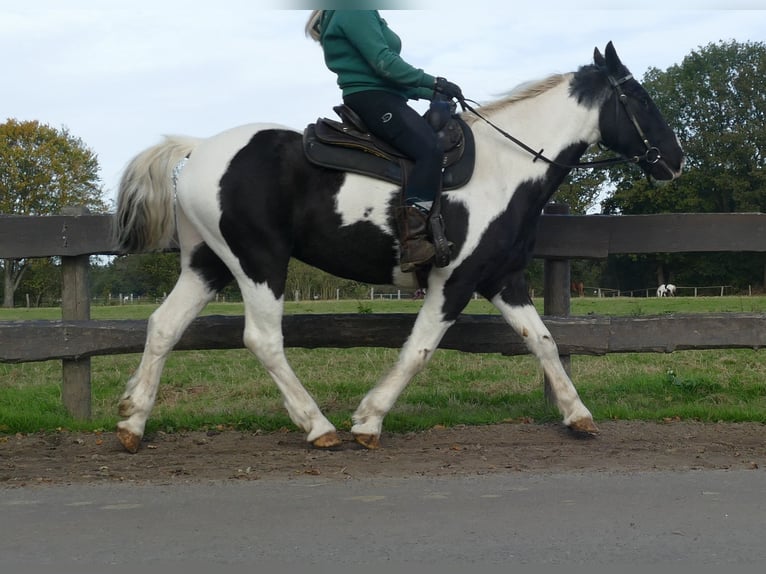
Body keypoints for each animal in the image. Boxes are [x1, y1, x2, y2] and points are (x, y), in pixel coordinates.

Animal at [112, 41, 684, 454]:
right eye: (641, 99)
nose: (674, 161)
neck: (509, 166)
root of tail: (198, 149)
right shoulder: (455, 280)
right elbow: (419, 349)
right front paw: (368, 420)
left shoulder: (502, 279)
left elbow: (542, 341)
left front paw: (578, 415)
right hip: (260, 262)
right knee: (262, 340)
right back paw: (318, 426)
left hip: (208, 264)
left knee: (164, 326)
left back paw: (133, 422)